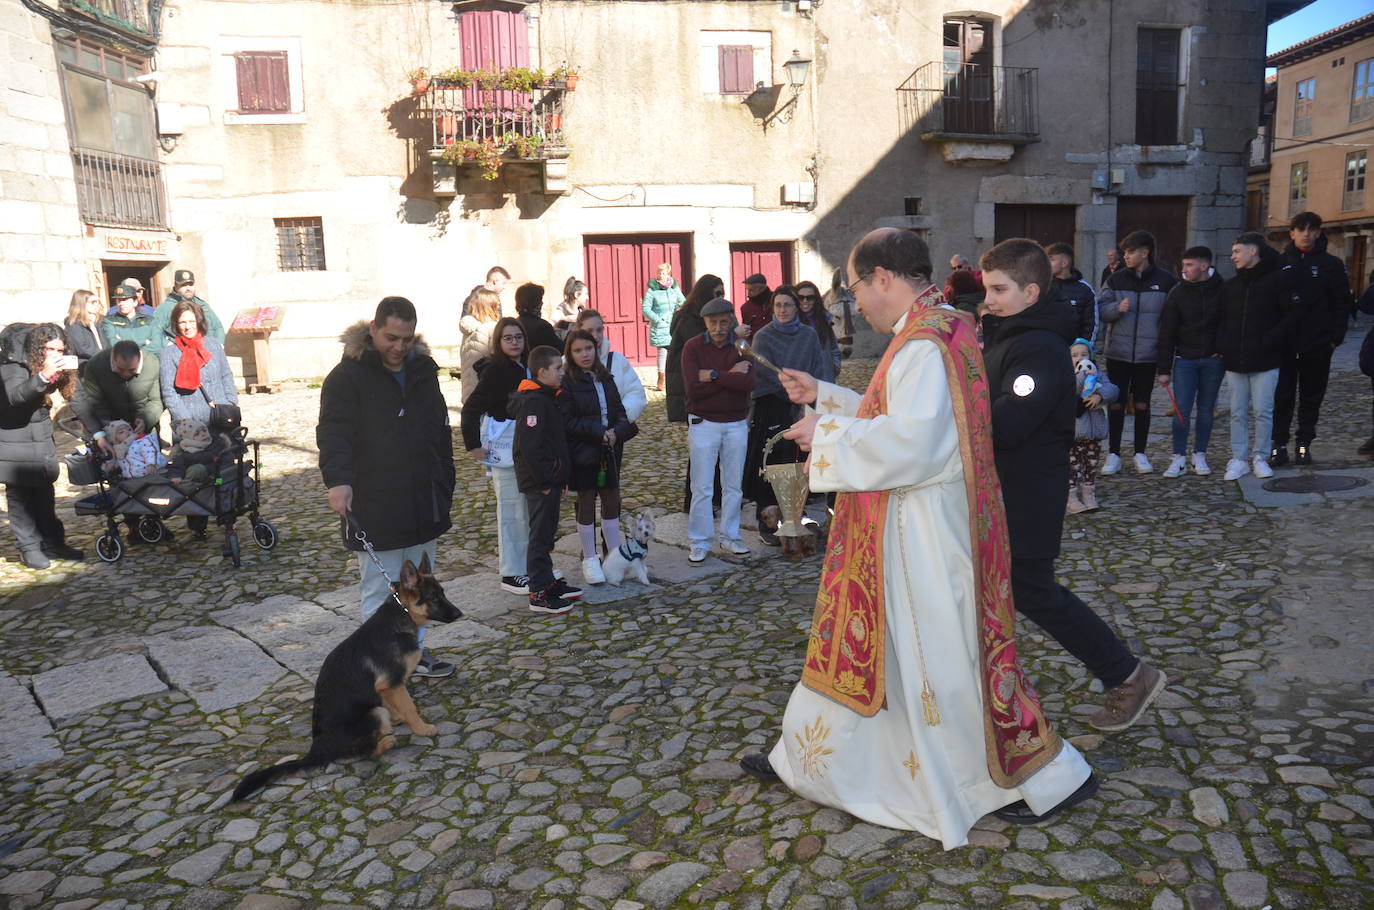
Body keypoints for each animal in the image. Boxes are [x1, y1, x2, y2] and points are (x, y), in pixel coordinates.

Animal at [228, 555, 458, 808]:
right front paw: (422, 728)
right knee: (357, 754)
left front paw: (398, 718)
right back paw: (385, 743)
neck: (402, 613)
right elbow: (409, 706)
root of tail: (316, 750)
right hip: (373, 714)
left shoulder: (384, 687)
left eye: (443, 593)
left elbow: (393, 703)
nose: (460, 615)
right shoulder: (391, 682)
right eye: (434, 598)